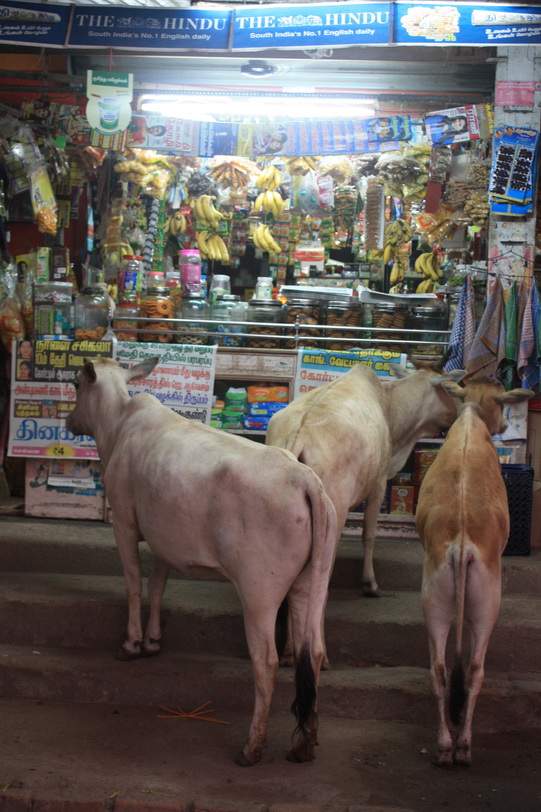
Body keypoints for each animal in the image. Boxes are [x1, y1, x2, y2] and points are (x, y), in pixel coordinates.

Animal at [65, 356, 336, 768]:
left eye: (77, 384)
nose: (68, 421)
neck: (118, 427)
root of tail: (305, 479)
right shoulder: (164, 537)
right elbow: (158, 584)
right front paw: (153, 640)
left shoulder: (125, 522)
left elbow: (133, 583)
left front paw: (131, 644)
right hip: (313, 583)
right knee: (315, 652)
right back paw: (305, 744)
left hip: (259, 591)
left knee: (266, 661)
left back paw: (252, 747)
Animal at [414, 378, 532, 764]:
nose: (505, 425)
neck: (471, 415)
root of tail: (462, 544)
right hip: (487, 606)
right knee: (475, 671)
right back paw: (463, 747)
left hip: (433, 603)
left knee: (439, 671)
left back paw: (443, 747)